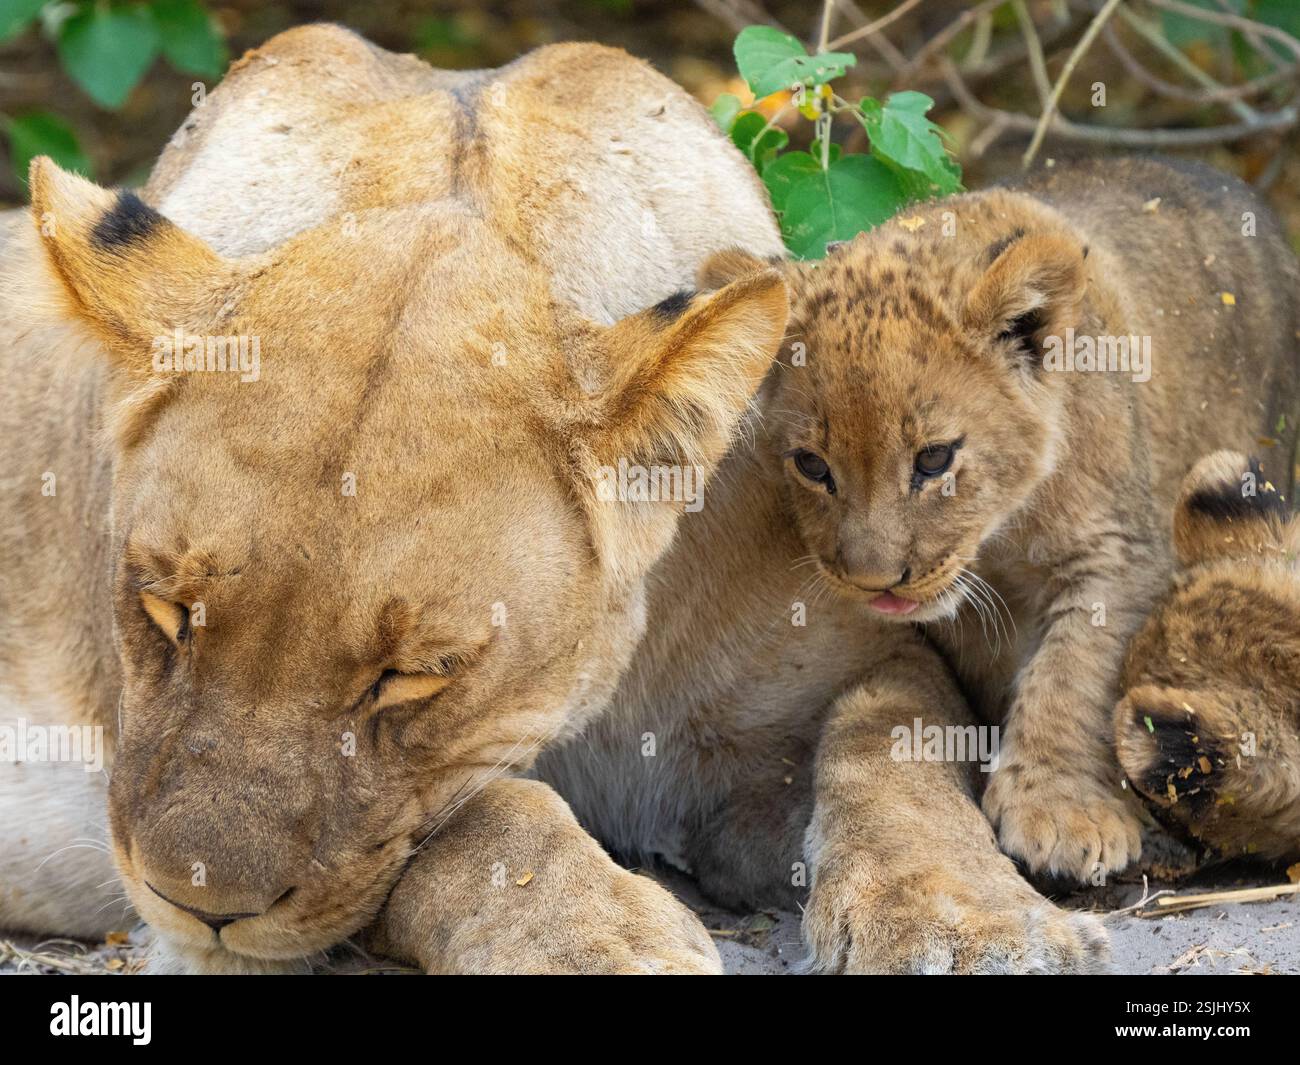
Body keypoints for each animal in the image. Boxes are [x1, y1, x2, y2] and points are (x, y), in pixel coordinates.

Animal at [1, 26, 1106, 974]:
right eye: (163, 612)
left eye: (416, 675)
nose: (197, 909)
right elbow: (477, 815)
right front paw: (590, 938)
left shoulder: (857, 655)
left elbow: (893, 740)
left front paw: (969, 918)